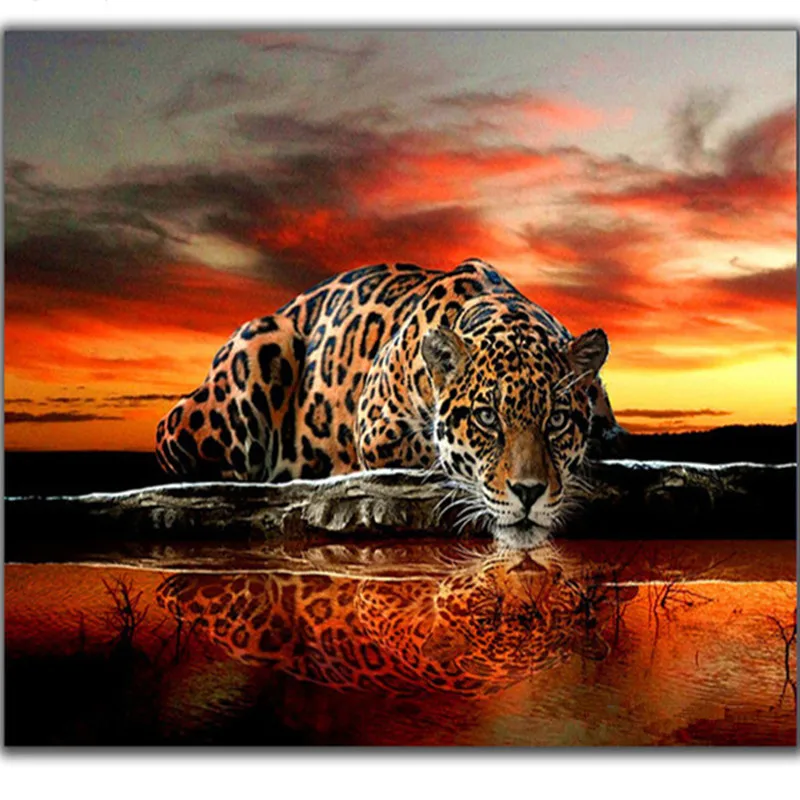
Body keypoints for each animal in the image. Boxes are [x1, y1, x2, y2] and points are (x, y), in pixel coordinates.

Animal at [156, 258, 618, 538]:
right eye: (487, 418)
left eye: (556, 420)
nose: (528, 493)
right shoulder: (378, 429)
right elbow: (433, 449)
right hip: (261, 344)